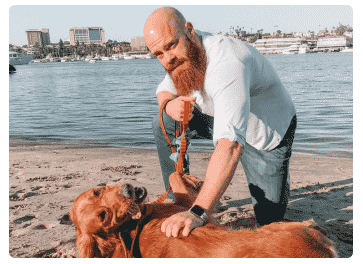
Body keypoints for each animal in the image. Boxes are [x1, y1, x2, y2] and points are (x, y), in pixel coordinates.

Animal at [70, 183, 338, 256]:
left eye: (96, 191)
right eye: (103, 216)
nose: (127, 190)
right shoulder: (184, 203)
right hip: (275, 228)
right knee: (305, 224)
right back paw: (314, 224)